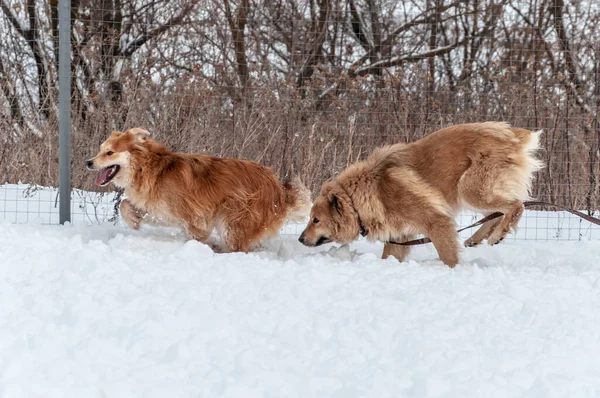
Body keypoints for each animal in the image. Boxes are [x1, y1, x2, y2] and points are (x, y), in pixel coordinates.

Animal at [86, 127, 312, 252]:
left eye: (109, 152)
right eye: (99, 150)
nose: (88, 162)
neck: (147, 168)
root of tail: (279, 189)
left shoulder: (193, 215)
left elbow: (196, 233)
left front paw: (204, 245)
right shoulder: (161, 211)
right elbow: (125, 205)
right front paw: (133, 220)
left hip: (233, 220)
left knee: (238, 247)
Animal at [298, 121, 544, 268]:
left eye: (316, 220)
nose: (300, 239)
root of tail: (511, 134)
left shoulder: (437, 222)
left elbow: (448, 256)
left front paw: (454, 270)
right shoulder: (399, 236)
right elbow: (389, 257)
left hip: (470, 189)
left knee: (516, 205)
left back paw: (497, 234)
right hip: (474, 192)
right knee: (497, 212)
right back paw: (476, 238)